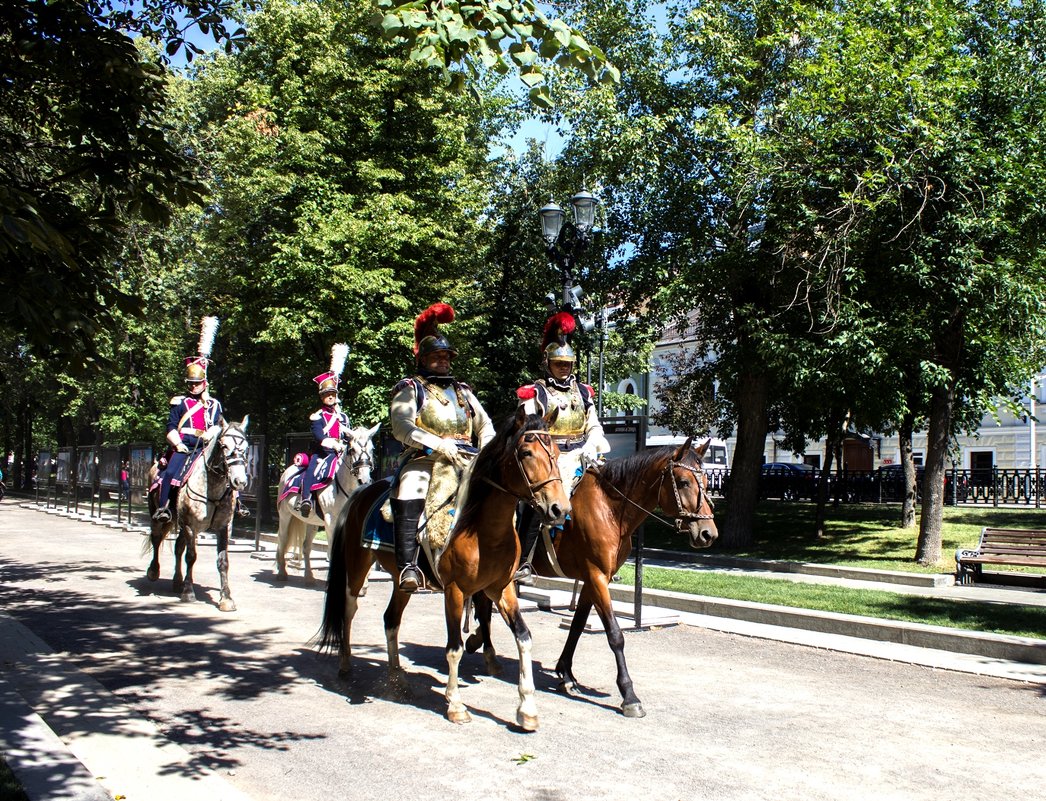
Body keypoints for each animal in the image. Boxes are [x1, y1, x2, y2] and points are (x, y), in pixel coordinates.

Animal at [145, 418, 251, 610]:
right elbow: (191, 556)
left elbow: (223, 561)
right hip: (158, 516)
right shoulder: (190, 526)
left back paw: (177, 581)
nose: (239, 481)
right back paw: (154, 571)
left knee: (178, 547)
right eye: (224, 445)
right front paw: (188, 592)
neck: (212, 488)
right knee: (156, 539)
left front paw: (226, 598)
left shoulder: (224, 528)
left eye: (246, 447)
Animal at [274, 422, 380, 585]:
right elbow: (332, 549)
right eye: (352, 450)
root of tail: (287, 470)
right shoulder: (331, 521)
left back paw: (309, 577)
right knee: (282, 539)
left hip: (311, 522)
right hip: (285, 515)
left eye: (372, 449)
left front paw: (363, 583)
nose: (364, 480)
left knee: (306, 547)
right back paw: (281, 573)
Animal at [315, 409, 569, 731]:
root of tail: (361, 491)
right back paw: (346, 664)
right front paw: (456, 705)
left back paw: (397, 677)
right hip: (357, 567)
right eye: (526, 452)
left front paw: (527, 709)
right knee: (348, 610)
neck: (481, 529)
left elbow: (523, 638)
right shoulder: (455, 591)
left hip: (401, 582)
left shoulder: (501, 588)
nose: (559, 509)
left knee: (391, 620)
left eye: (557, 453)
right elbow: (455, 647)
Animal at [468, 439, 719, 719]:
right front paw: (629, 695)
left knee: (483, 603)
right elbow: (615, 635)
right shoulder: (596, 577)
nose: (708, 533)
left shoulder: (594, 579)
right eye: (684, 482)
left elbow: (577, 626)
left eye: (706, 481)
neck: (611, 508)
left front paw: (566, 673)